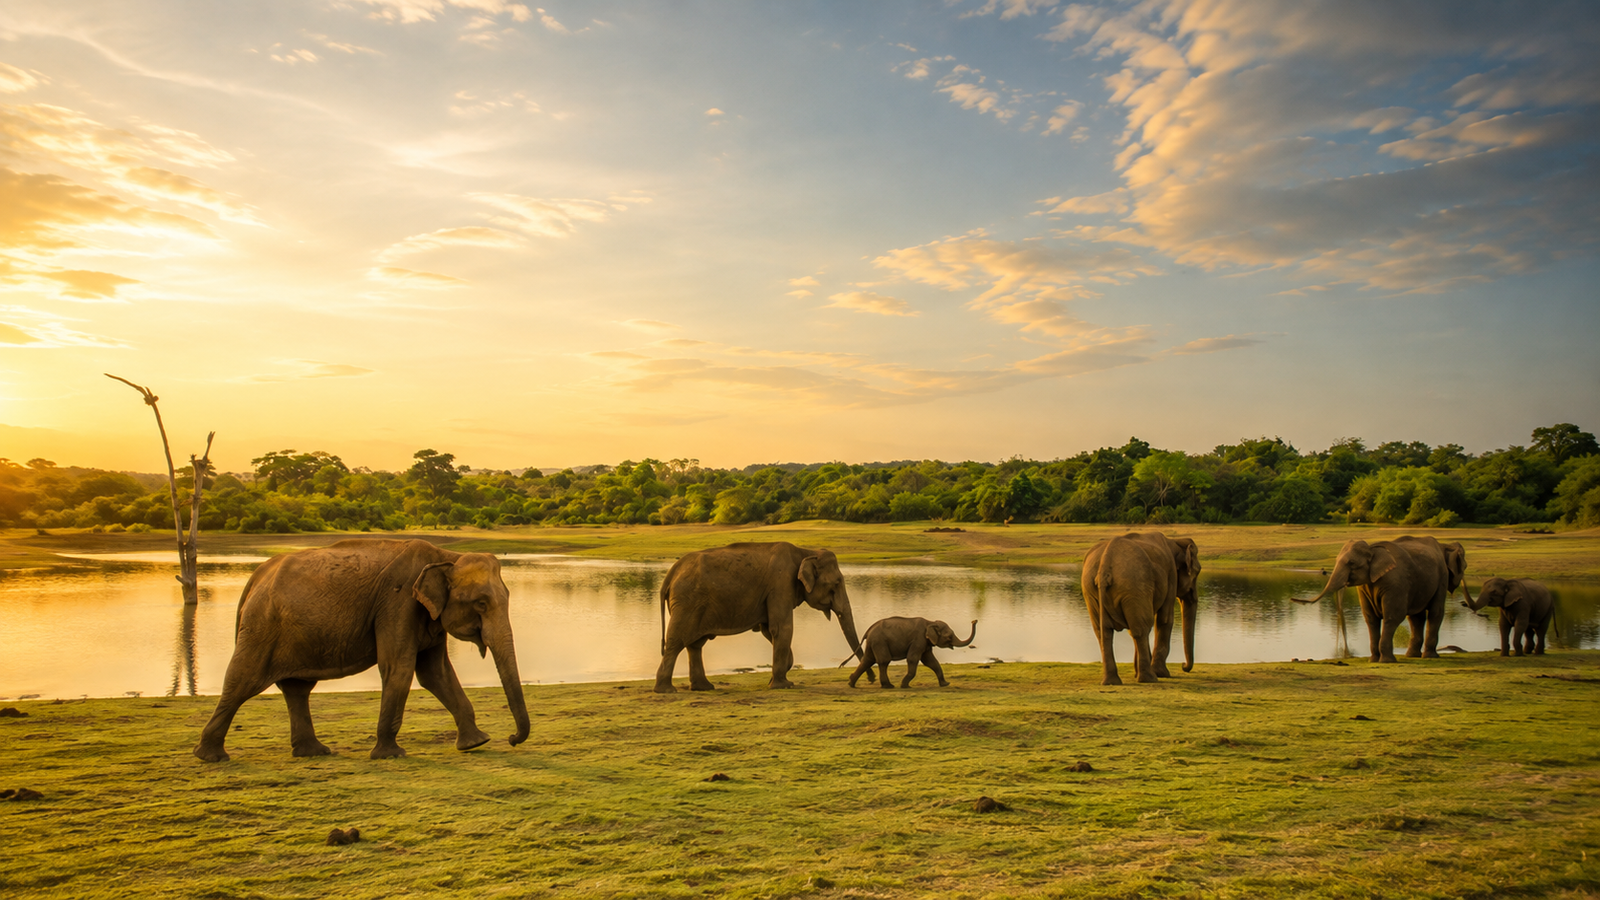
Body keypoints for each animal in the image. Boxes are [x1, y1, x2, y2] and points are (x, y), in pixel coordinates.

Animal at [194, 539, 530, 762]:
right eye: (481, 604)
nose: (512, 739)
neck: (447, 556)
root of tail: (254, 578)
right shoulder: (397, 603)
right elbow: (399, 666)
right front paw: (390, 755)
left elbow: (436, 674)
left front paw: (476, 744)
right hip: (262, 626)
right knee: (243, 680)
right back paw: (211, 757)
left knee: (297, 689)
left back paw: (313, 753)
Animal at [655, 541, 863, 693]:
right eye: (837, 583)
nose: (844, 668)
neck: (806, 551)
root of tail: (671, 573)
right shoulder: (781, 584)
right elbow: (782, 628)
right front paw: (784, 685)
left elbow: (768, 630)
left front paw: (777, 677)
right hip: (687, 602)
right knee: (676, 641)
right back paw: (666, 690)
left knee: (695, 644)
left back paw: (703, 688)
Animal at [844, 617, 977, 688]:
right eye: (949, 637)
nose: (974, 621)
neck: (930, 622)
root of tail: (868, 630)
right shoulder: (918, 640)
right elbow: (913, 658)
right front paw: (904, 686)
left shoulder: (925, 643)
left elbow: (931, 661)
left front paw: (946, 684)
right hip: (879, 642)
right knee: (883, 661)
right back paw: (888, 686)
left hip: (874, 642)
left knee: (868, 660)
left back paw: (851, 683)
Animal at [1080, 532, 1200, 685]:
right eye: (1197, 572)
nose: (1183, 665)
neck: (1175, 542)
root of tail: (1104, 566)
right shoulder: (1171, 575)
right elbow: (1165, 619)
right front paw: (1163, 674)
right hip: (1134, 585)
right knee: (1141, 629)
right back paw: (1149, 679)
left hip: (1093, 590)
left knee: (1105, 632)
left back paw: (1112, 682)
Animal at [1292, 535, 1468, 662]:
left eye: (1352, 563)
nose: (1293, 599)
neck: (1372, 549)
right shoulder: (1364, 587)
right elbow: (1372, 618)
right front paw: (1375, 661)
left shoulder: (1399, 583)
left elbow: (1397, 616)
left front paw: (1387, 661)